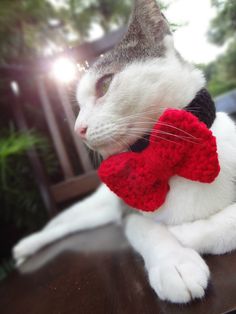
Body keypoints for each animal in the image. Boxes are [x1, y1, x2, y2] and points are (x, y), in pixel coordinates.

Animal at [13, 0, 236, 304]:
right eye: (78, 107)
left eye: (105, 84)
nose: (78, 129)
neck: (167, 155)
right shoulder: (128, 211)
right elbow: (146, 229)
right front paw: (174, 262)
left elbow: (229, 222)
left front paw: (185, 234)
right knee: (61, 223)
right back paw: (25, 246)